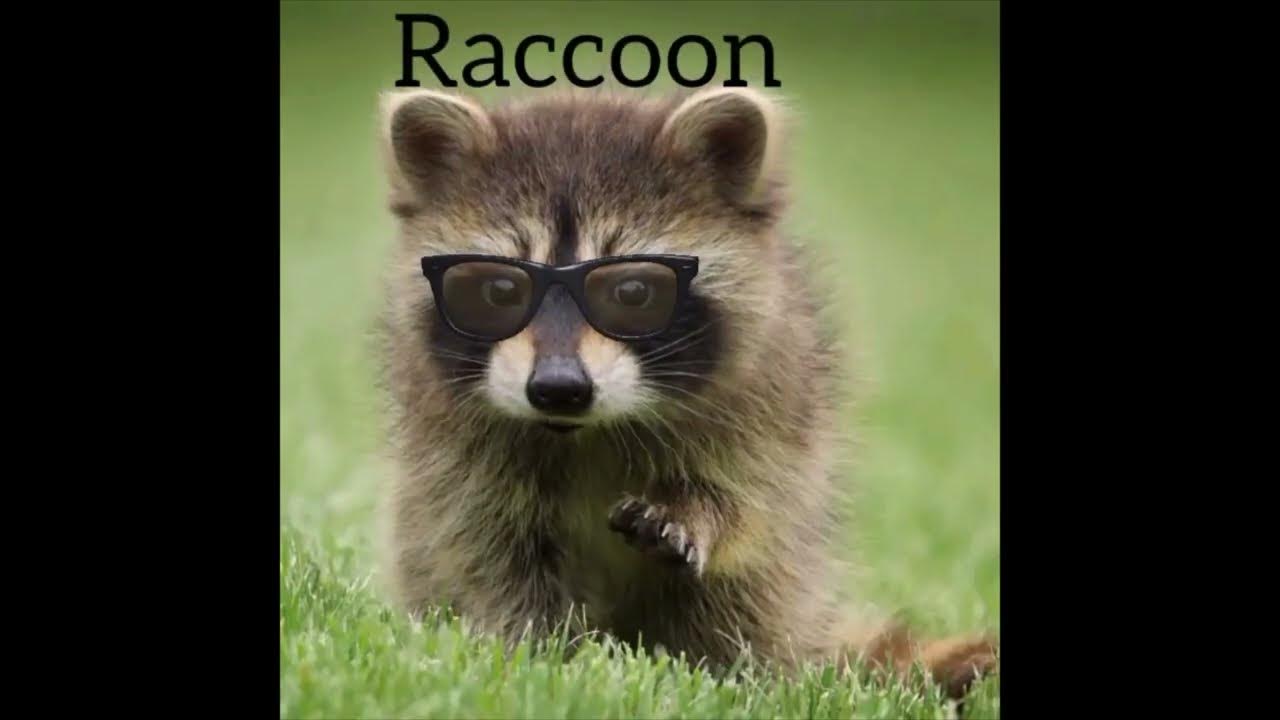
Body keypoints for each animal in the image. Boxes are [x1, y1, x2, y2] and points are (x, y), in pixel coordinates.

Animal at [374, 86, 996, 699]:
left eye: (632, 292)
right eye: (500, 290)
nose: (558, 388)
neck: (588, 430)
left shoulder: (773, 396)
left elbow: (751, 497)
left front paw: (698, 513)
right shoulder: (454, 446)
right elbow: (485, 547)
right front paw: (538, 650)